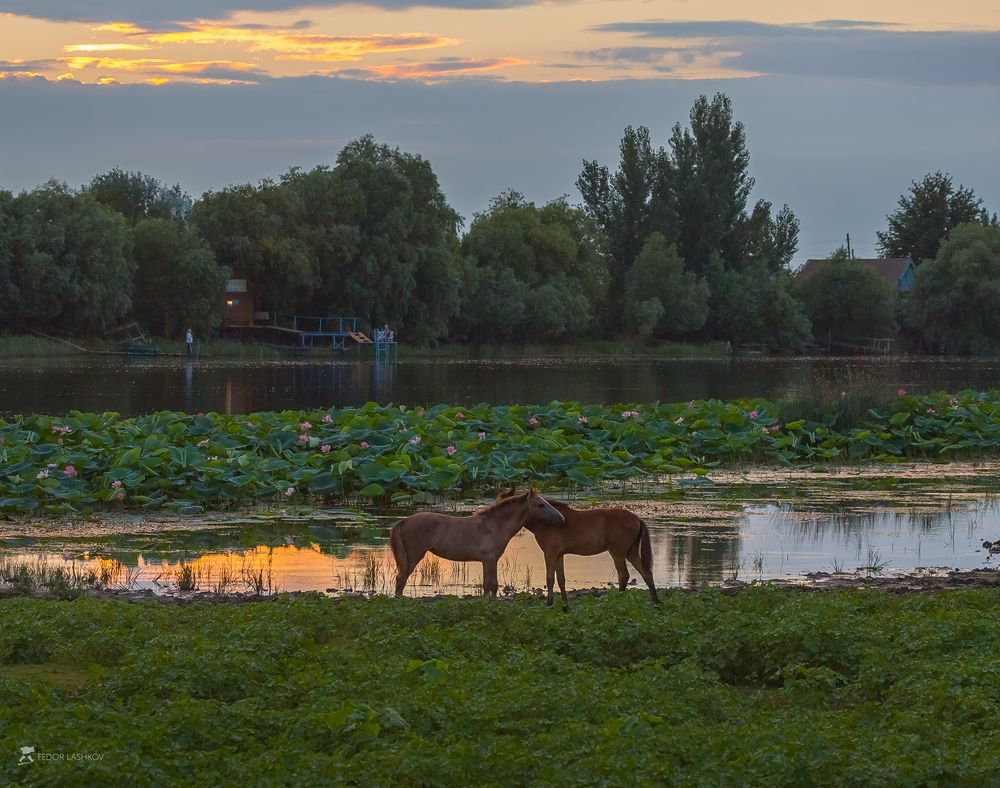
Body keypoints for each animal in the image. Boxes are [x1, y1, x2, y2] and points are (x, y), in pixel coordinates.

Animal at [389, 488, 564, 598]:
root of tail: (404, 521)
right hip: (413, 557)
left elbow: (493, 585)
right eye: (541, 504)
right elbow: (488, 585)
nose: (561, 520)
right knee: (401, 579)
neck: (493, 526)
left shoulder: (492, 560)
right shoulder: (488, 560)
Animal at [510, 493, 659, 611]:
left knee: (624, 575)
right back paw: (656, 602)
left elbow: (550, 578)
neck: (547, 521)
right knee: (646, 574)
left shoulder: (550, 553)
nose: (561, 520)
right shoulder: (559, 555)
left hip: (618, 553)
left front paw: (549, 603)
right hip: (630, 553)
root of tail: (637, 519)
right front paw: (565, 606)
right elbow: (561, 579)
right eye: (541, 504)